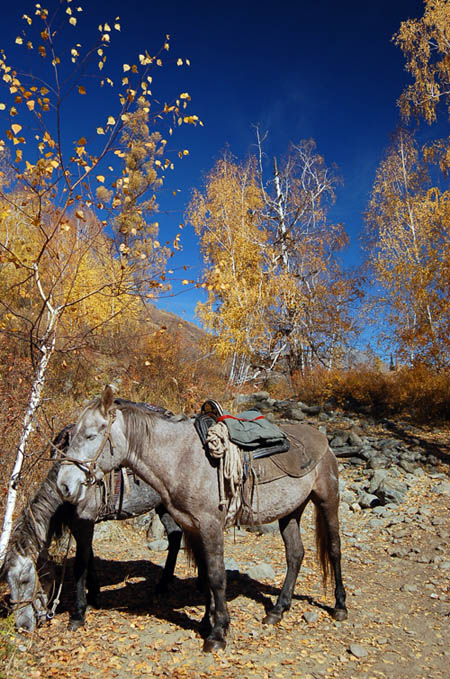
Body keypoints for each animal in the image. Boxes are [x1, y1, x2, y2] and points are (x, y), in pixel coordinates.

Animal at [2, 424, 181, 632]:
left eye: (25, 580)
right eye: (8, 583)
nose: (22, 627)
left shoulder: (85, 522)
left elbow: (80, 566)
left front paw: (78, 614)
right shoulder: (80, 525)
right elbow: (89, 559)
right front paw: (93, 597)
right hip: (163, 505)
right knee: (175, 536)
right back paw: (164, 583)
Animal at [56, 390, 348, 656]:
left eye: (91, 436)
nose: (64, 485)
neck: (180, 458)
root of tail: (322, 439)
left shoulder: (210, 526)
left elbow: (217, 577)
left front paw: (218, 633)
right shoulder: (192, 527)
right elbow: (206, 575)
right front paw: (208, 621)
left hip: (328, 501)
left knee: (334, 550)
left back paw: (339, 606)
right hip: (290, 512)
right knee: (295, 555)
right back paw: (278, 609)